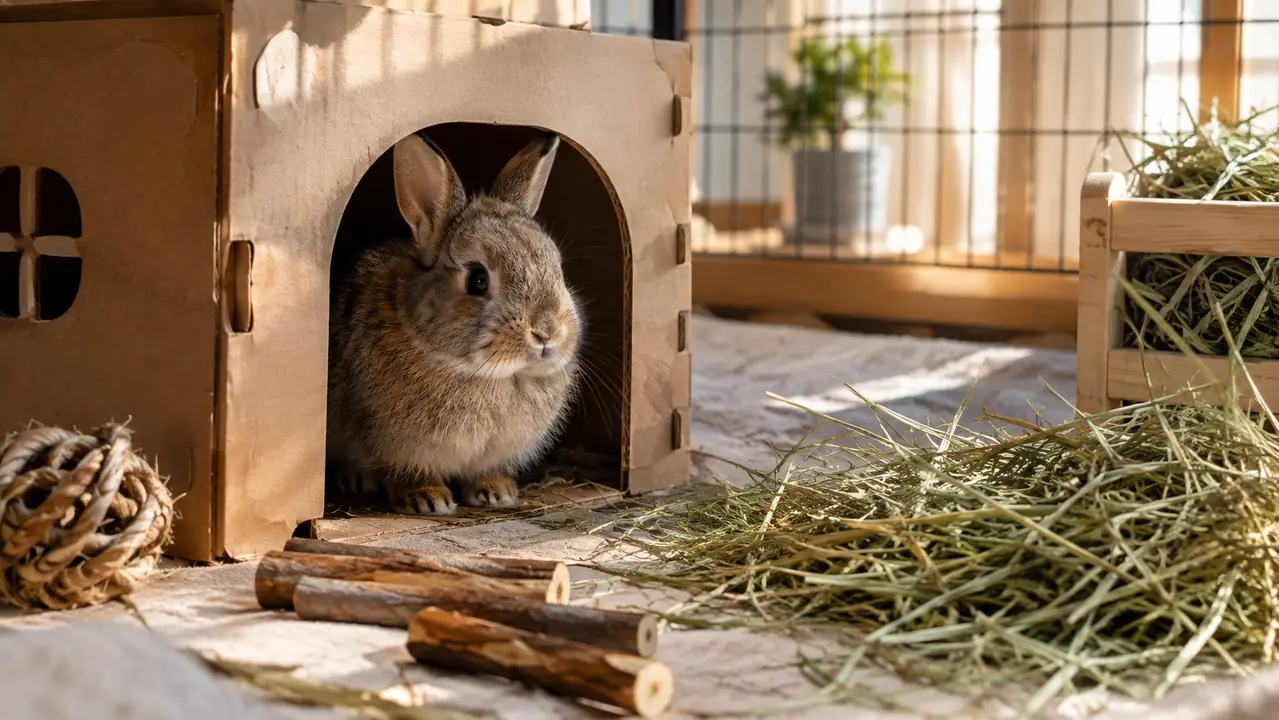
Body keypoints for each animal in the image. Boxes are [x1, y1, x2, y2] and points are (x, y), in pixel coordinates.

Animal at [325, 130, 583, 515]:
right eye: (478, 279)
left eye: (557, 268)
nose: (546, 332)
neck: (490, 375)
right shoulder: (395, 446)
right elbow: (405, 472)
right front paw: (428, 498)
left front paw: (496, 492)